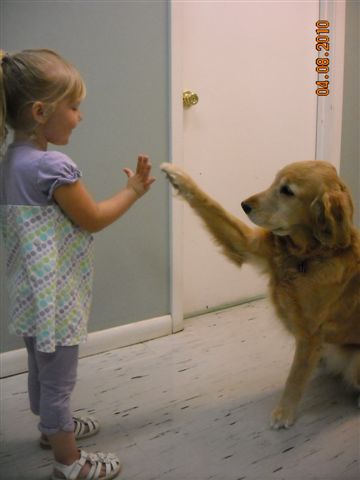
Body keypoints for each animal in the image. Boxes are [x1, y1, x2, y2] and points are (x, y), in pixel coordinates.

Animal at [162, 160, 360, 428]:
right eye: (274, 181)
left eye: (287, 190)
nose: (244, 205)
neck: (304, 257)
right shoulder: (247, 244)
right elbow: (211, 205)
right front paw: (177, 176)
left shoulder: (310, 334)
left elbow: (295, 377)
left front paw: (284, 412)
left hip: (356, 363)